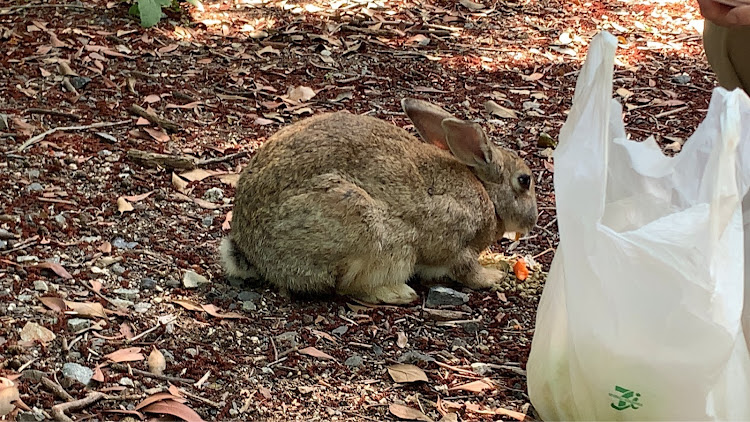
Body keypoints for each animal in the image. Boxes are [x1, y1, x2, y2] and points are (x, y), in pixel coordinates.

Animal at [220, 99, 536, 304]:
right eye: (524, 180)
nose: (532, 221)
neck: (486, 193)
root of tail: (251, 252)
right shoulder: (457, 242)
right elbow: (466, 269)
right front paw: (494, 276)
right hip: (362, 227)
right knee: (345, 288)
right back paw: (398, 293)